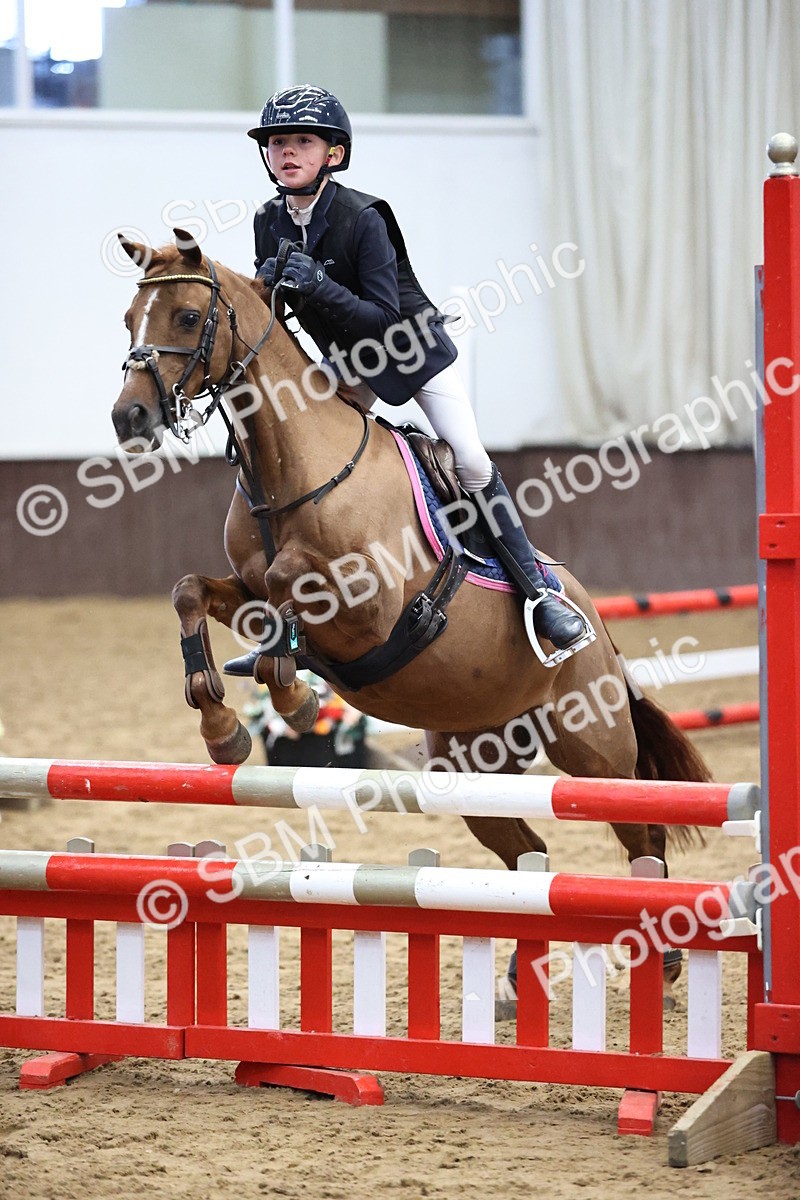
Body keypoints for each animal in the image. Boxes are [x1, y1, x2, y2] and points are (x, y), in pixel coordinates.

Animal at [112, 231, 710, 1000]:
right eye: (130, 319)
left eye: (187, 317)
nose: (129, 418)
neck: (292, 469)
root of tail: (600, 629)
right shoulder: (242, 590)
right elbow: (195, 591)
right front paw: (224, 728)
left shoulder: (369, 608)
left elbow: (287, 584)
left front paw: (295, 698)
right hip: (474, 762)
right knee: (528, 855)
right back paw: (519, 975)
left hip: (593, 750)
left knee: (643, 833)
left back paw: (660, 954)